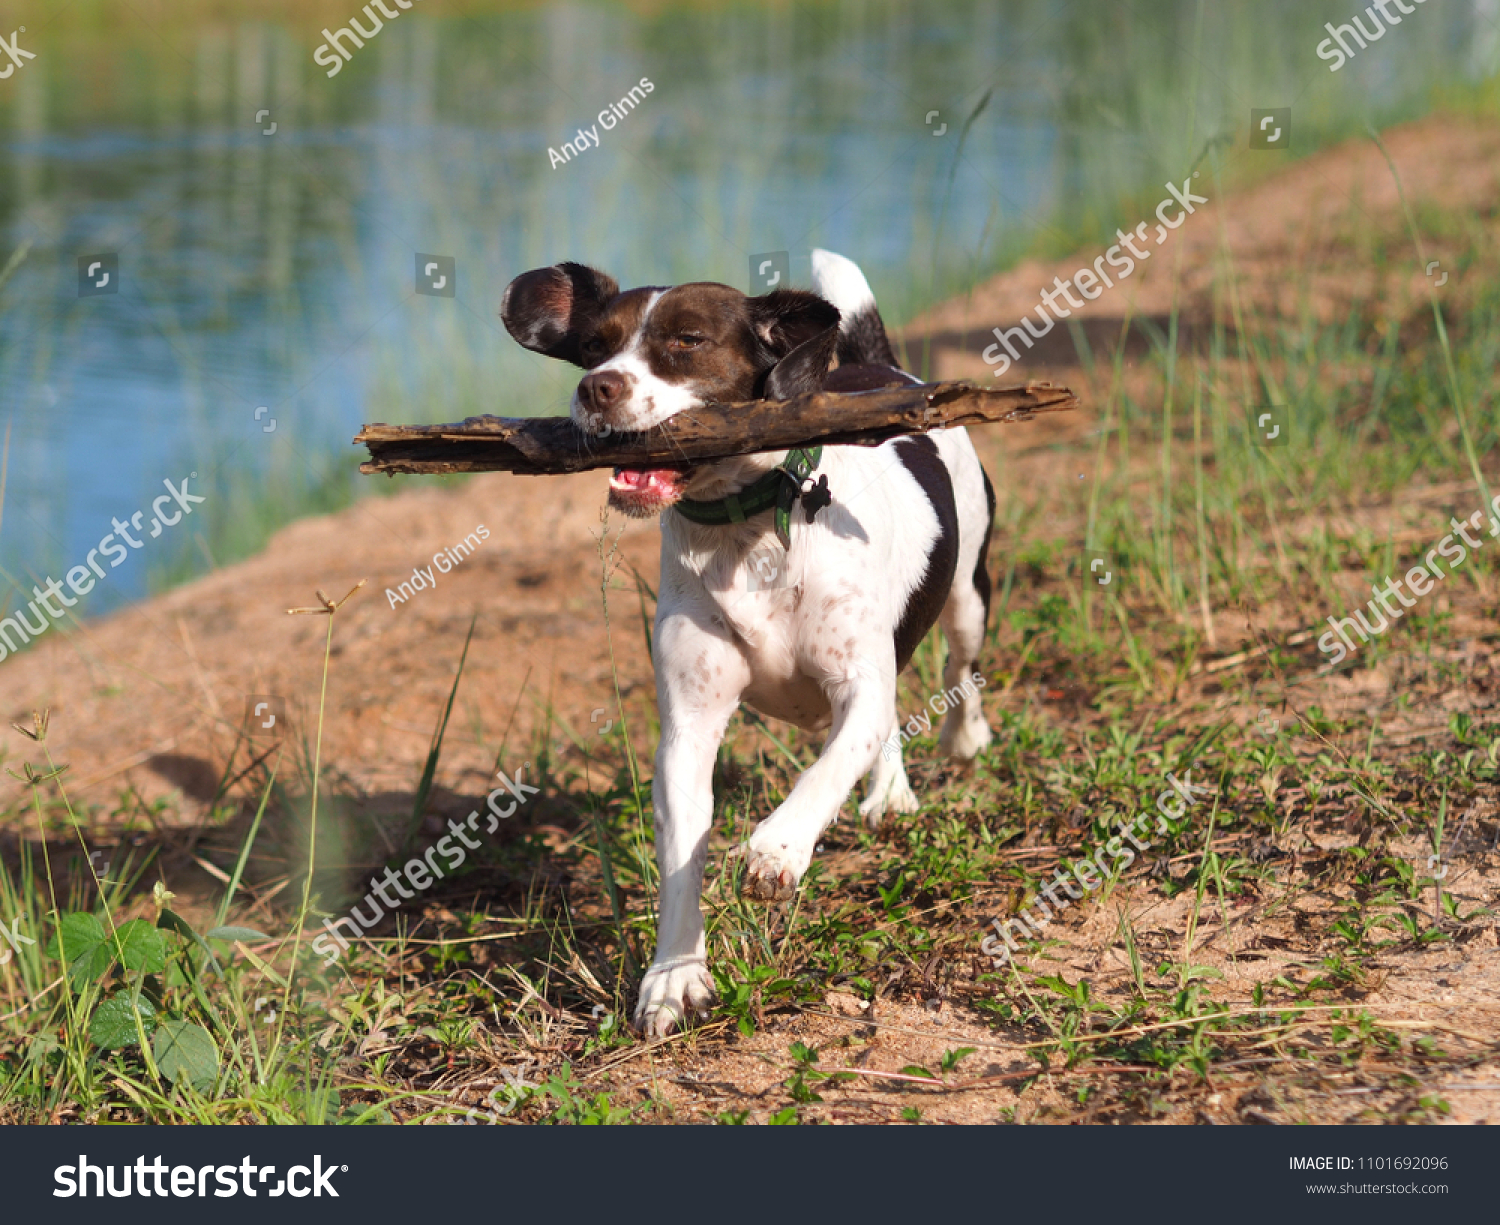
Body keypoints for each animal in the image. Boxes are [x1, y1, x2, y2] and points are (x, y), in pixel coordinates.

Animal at [501, 248, 996, 1031]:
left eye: (688, 341)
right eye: (593, 347)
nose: (596, 387)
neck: (745, 523)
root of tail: (880, 366)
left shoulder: (855, 682)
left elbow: (827, 767)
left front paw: (778, 848)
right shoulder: (688, 726)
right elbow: (682, 854)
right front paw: (674, 975)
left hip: (969, 591)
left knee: (958, 666)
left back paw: (959, 739)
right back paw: (889, 790)